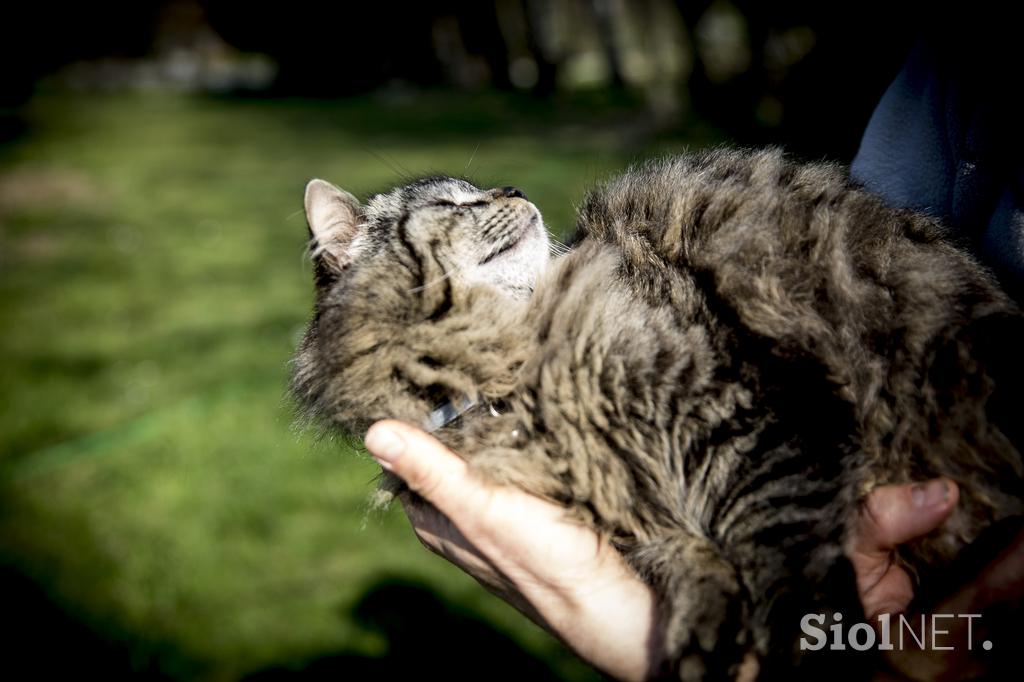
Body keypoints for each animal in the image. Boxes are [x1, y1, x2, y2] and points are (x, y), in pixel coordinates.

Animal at [288, 147, 1024, 675]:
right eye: (453, 203)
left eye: (482, 193)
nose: (516, 191)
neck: (517, 364)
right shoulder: (615, 498)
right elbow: (681, 555)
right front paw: (703, 629)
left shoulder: (746, 409)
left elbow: (776, 534)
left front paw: (799, 636)